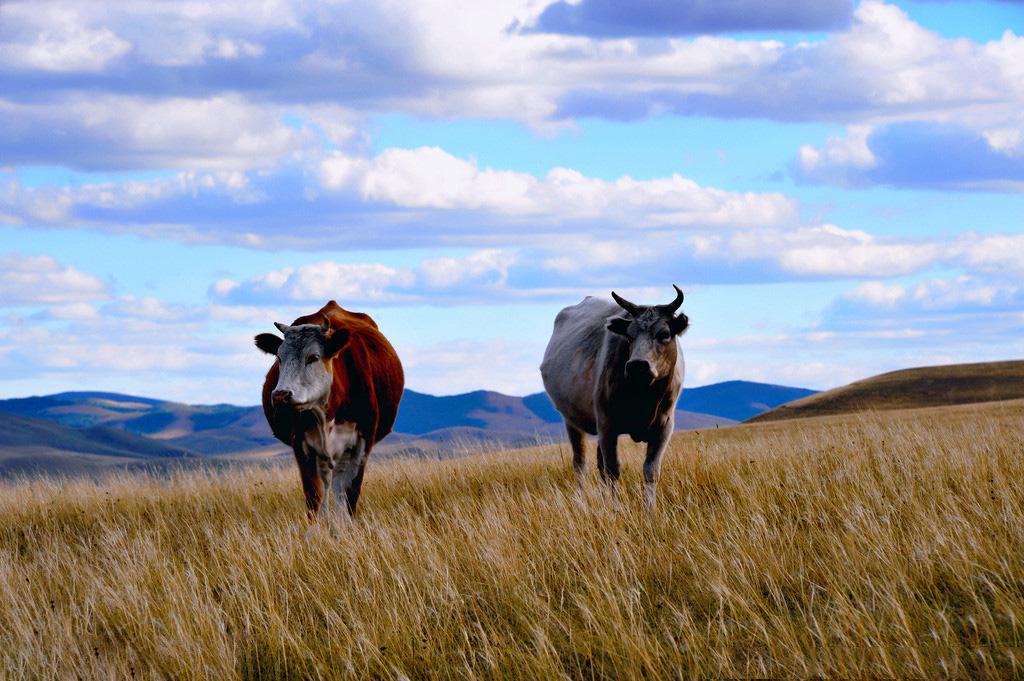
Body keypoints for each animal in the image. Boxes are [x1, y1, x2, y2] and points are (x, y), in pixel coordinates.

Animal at [251, 299, 403, 520]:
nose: (280, 395)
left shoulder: (361, 443)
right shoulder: (301, 445)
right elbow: (314, 496)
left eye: (313, 357)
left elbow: (348, 494)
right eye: (279, 357)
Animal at [544, 284, 688, 507]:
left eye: (664, 334)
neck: (644, 398)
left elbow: (651, 471)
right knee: (580, 463)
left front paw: (650, 509)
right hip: (572, 421)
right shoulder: (607, 425)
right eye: (629, 335)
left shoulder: (664, 427)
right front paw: (615, 506)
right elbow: (613, 470)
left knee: (598, 464)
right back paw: (581, 498)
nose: (638, 365)